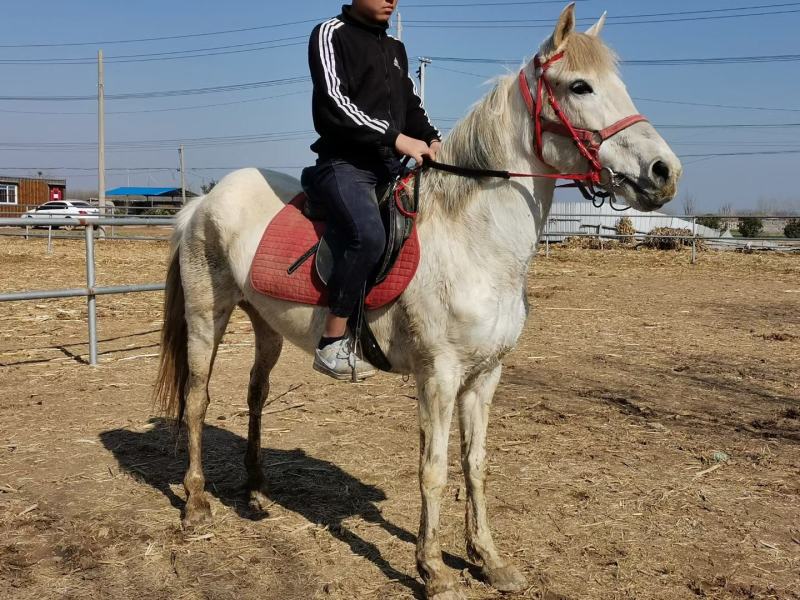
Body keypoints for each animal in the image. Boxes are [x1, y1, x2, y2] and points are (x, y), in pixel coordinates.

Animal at [153, 5, 682, 599]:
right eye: (579, 86)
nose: (665, 172)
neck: (473, 240)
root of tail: (200, 204)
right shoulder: (439, 376)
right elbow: (433, 468)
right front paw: (432, 571)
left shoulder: (485, 376)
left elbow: (475, 464)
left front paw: (488, 560)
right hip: (207, 316)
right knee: (197, 400)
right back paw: (196, 504)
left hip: (265, 326)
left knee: (255, 396)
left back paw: (256, 493)